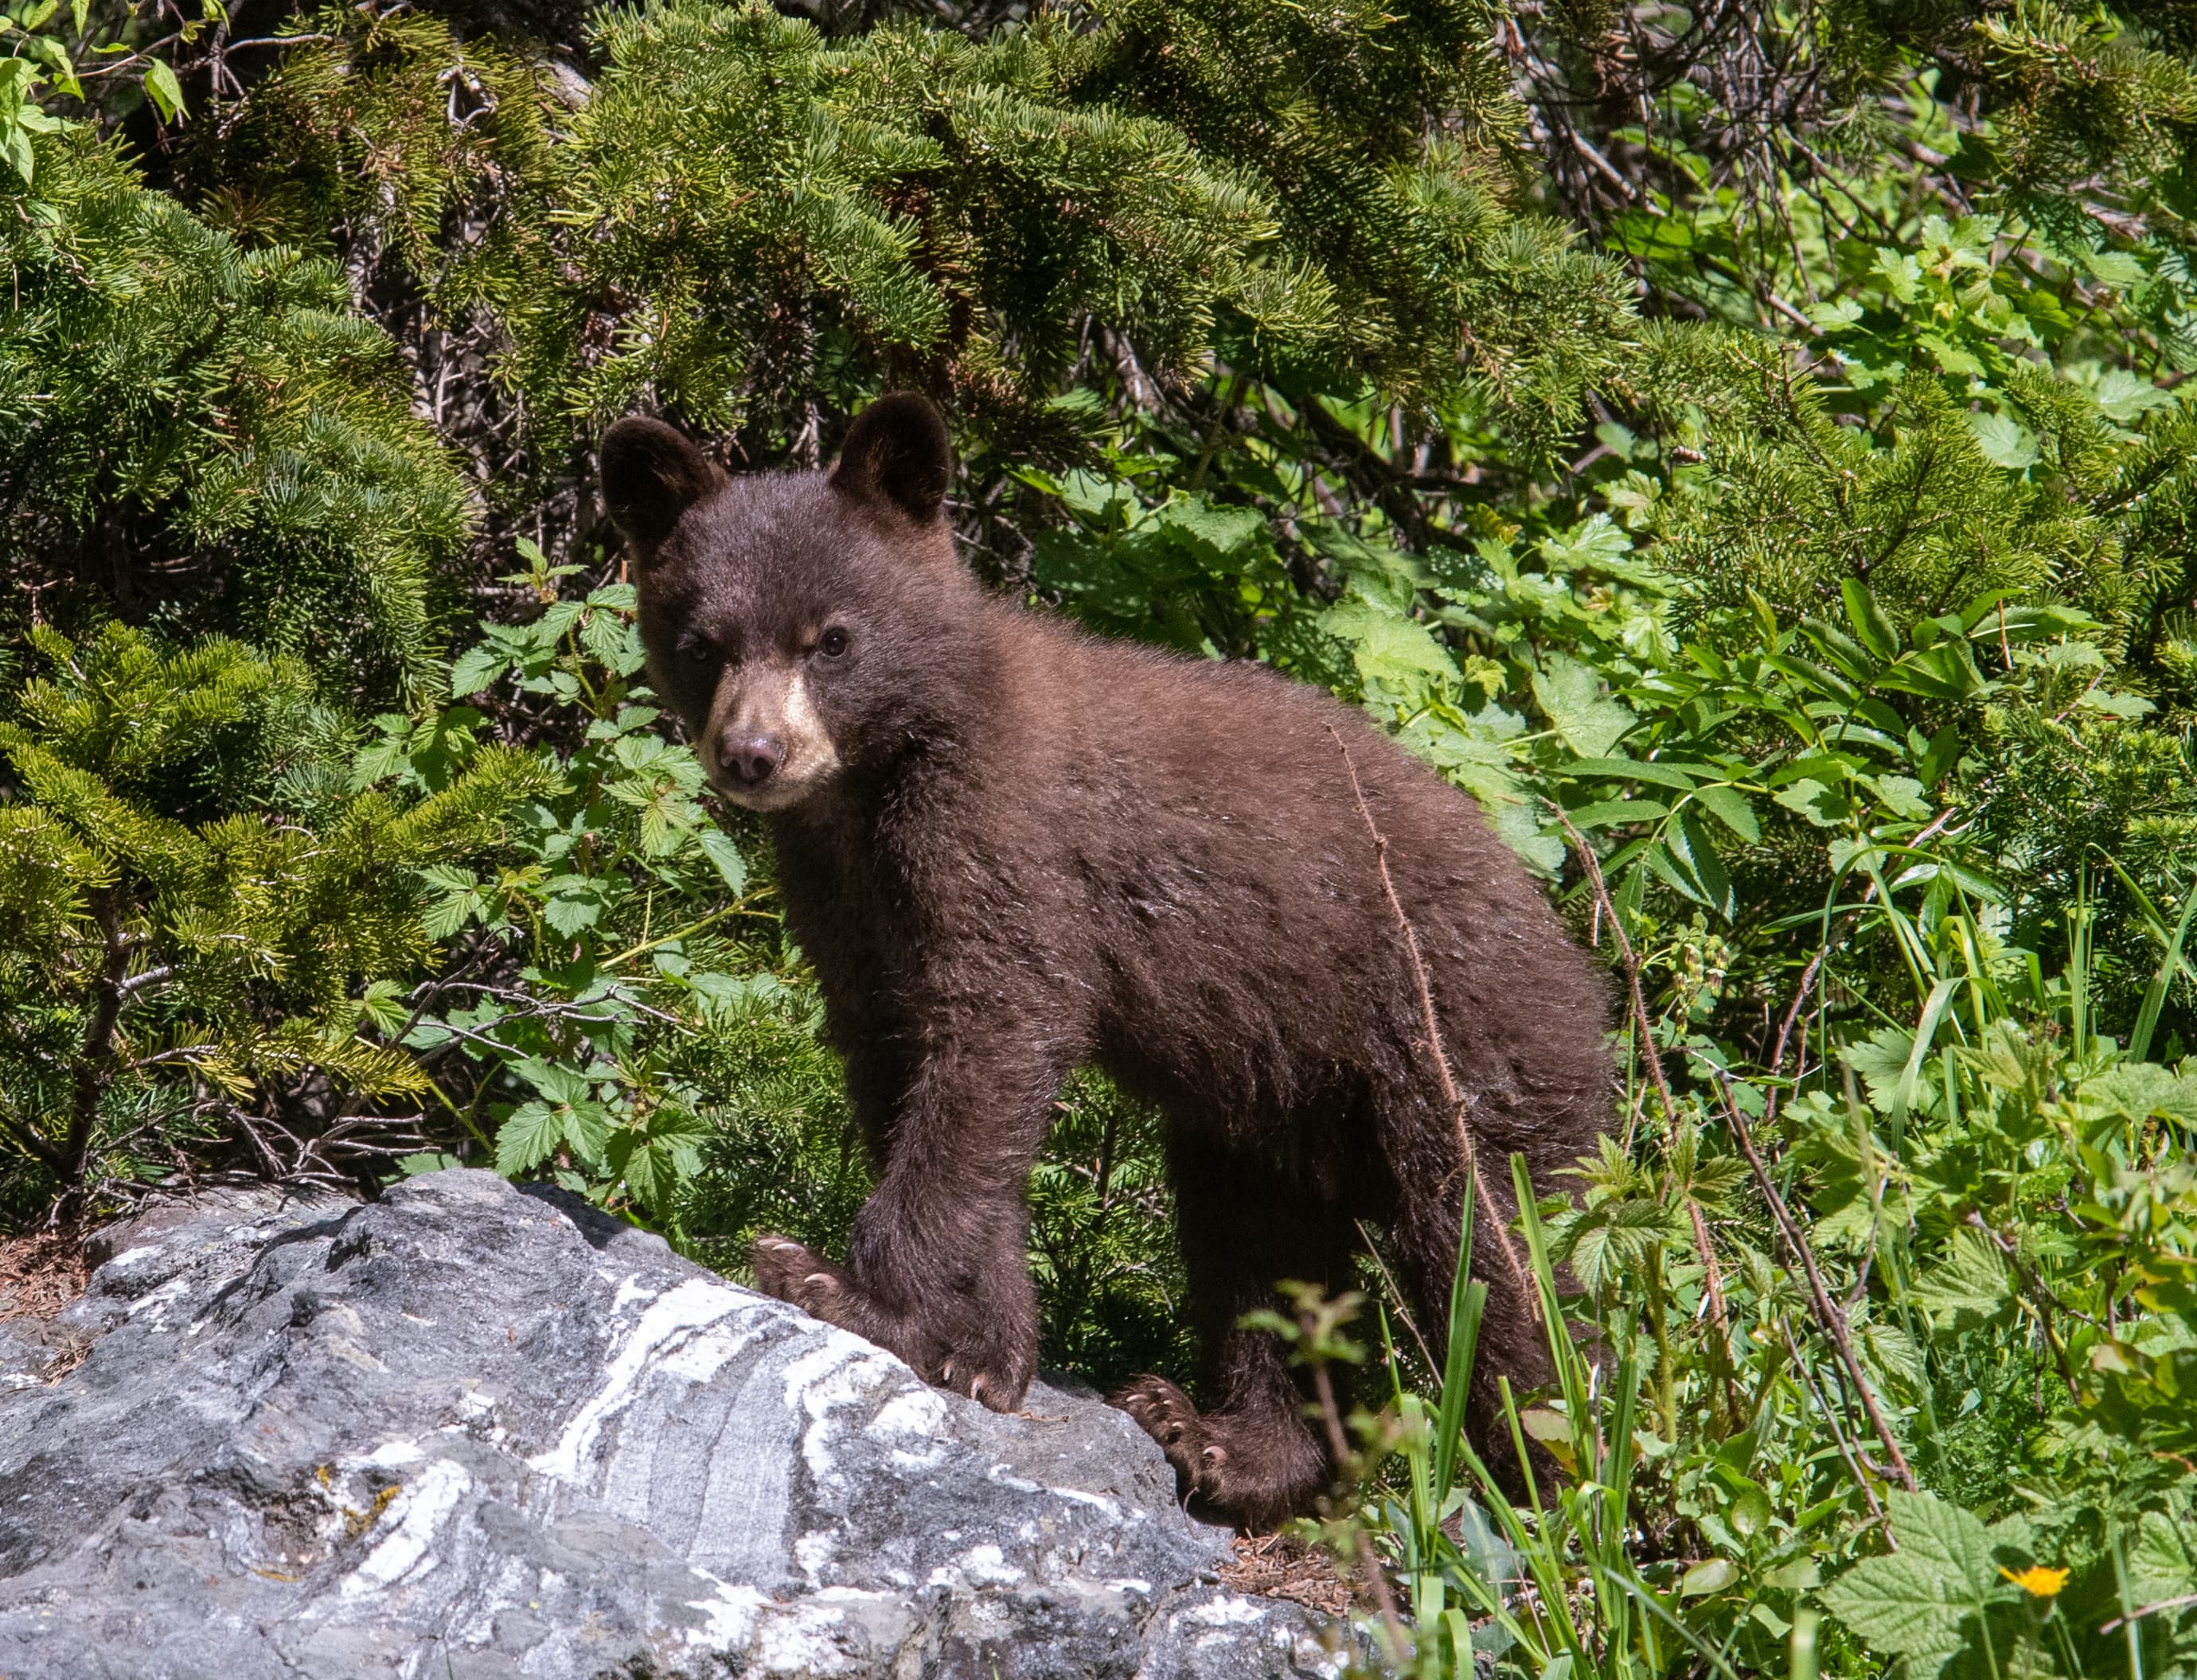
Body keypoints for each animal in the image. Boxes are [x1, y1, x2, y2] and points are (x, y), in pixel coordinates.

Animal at [600, 393, 1611, 1528]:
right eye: (703, 641)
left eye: (833, 638)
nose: (754, 754)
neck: (882, 780)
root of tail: (1582, 968)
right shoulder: (845, 901)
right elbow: (917, 1078)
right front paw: (983, 1348)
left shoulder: (1003, 844)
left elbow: (990, 1042)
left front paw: (840, 1285)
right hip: (1276, 1106)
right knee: (1259, 1253)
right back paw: (1227, 1439)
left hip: (1462, 1061)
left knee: (1502, 1266)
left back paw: (1550, 1484)